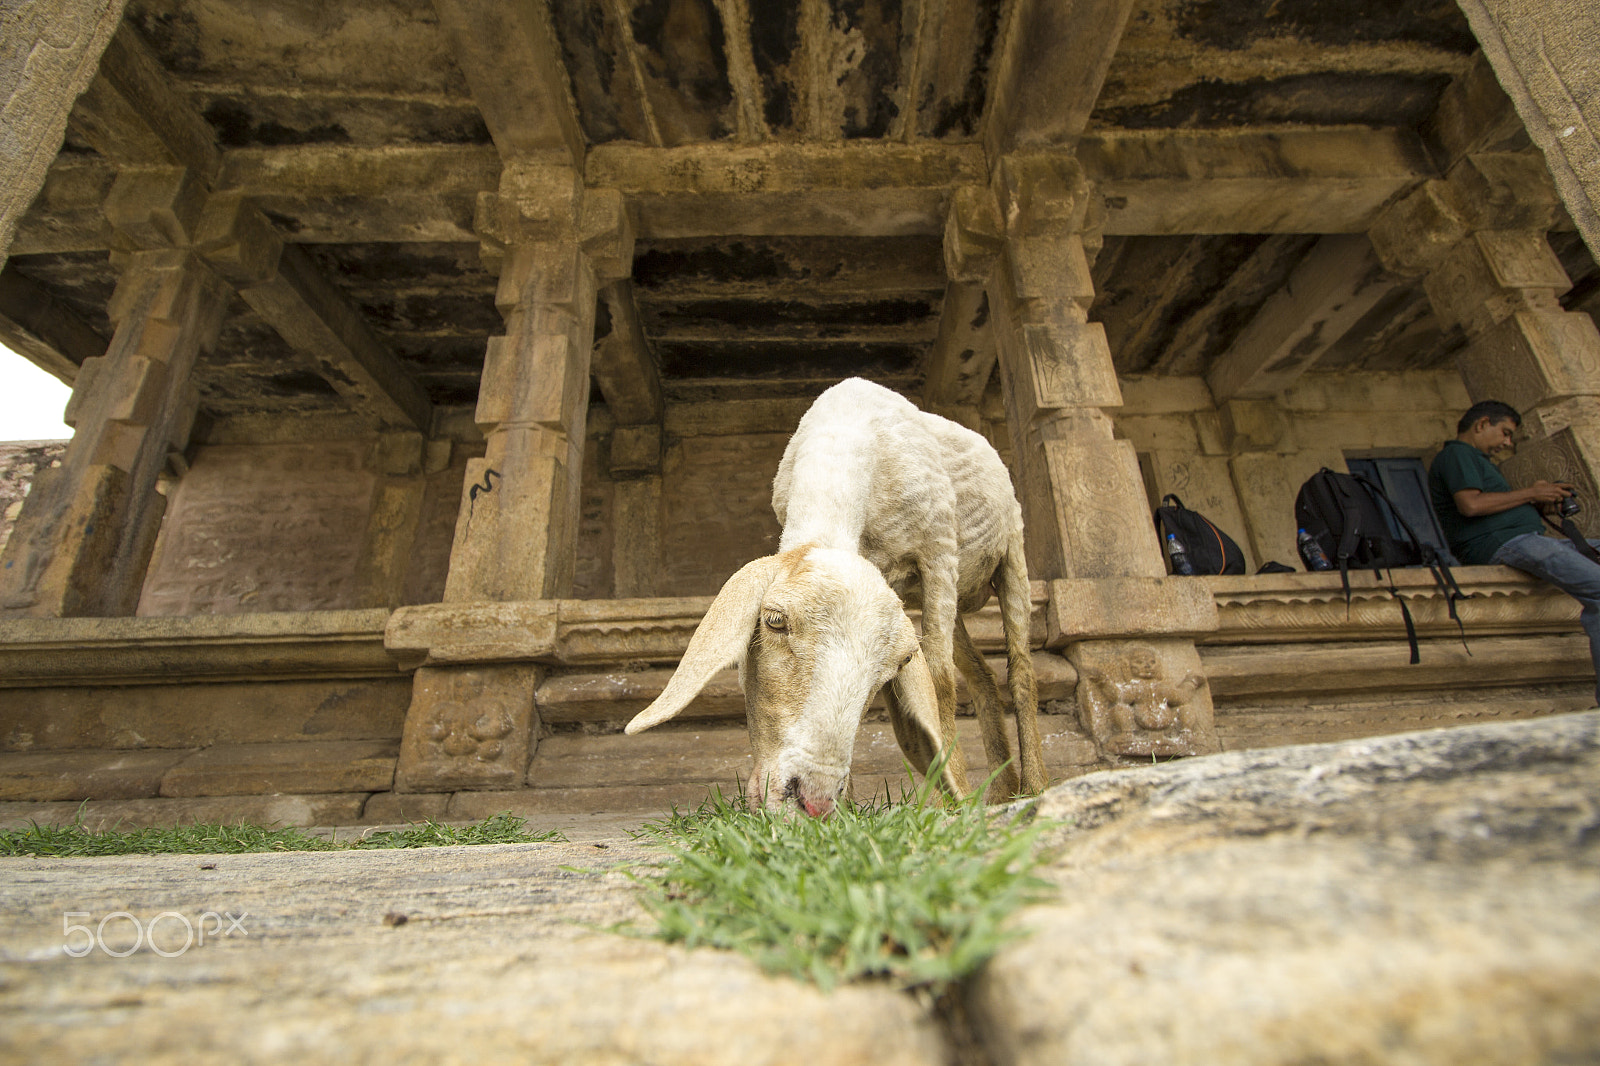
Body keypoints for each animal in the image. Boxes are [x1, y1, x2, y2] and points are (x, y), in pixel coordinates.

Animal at [625, 377, 1044, 816]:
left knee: (1021, 671)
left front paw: (947, 801)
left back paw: (1032, 786)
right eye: (774, 622)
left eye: (900, 663)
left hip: (1011, 554)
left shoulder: (940, 554)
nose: (813, 800)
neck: (847, 431)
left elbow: (940, 680)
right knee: (982, 675)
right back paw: (1002, 791)